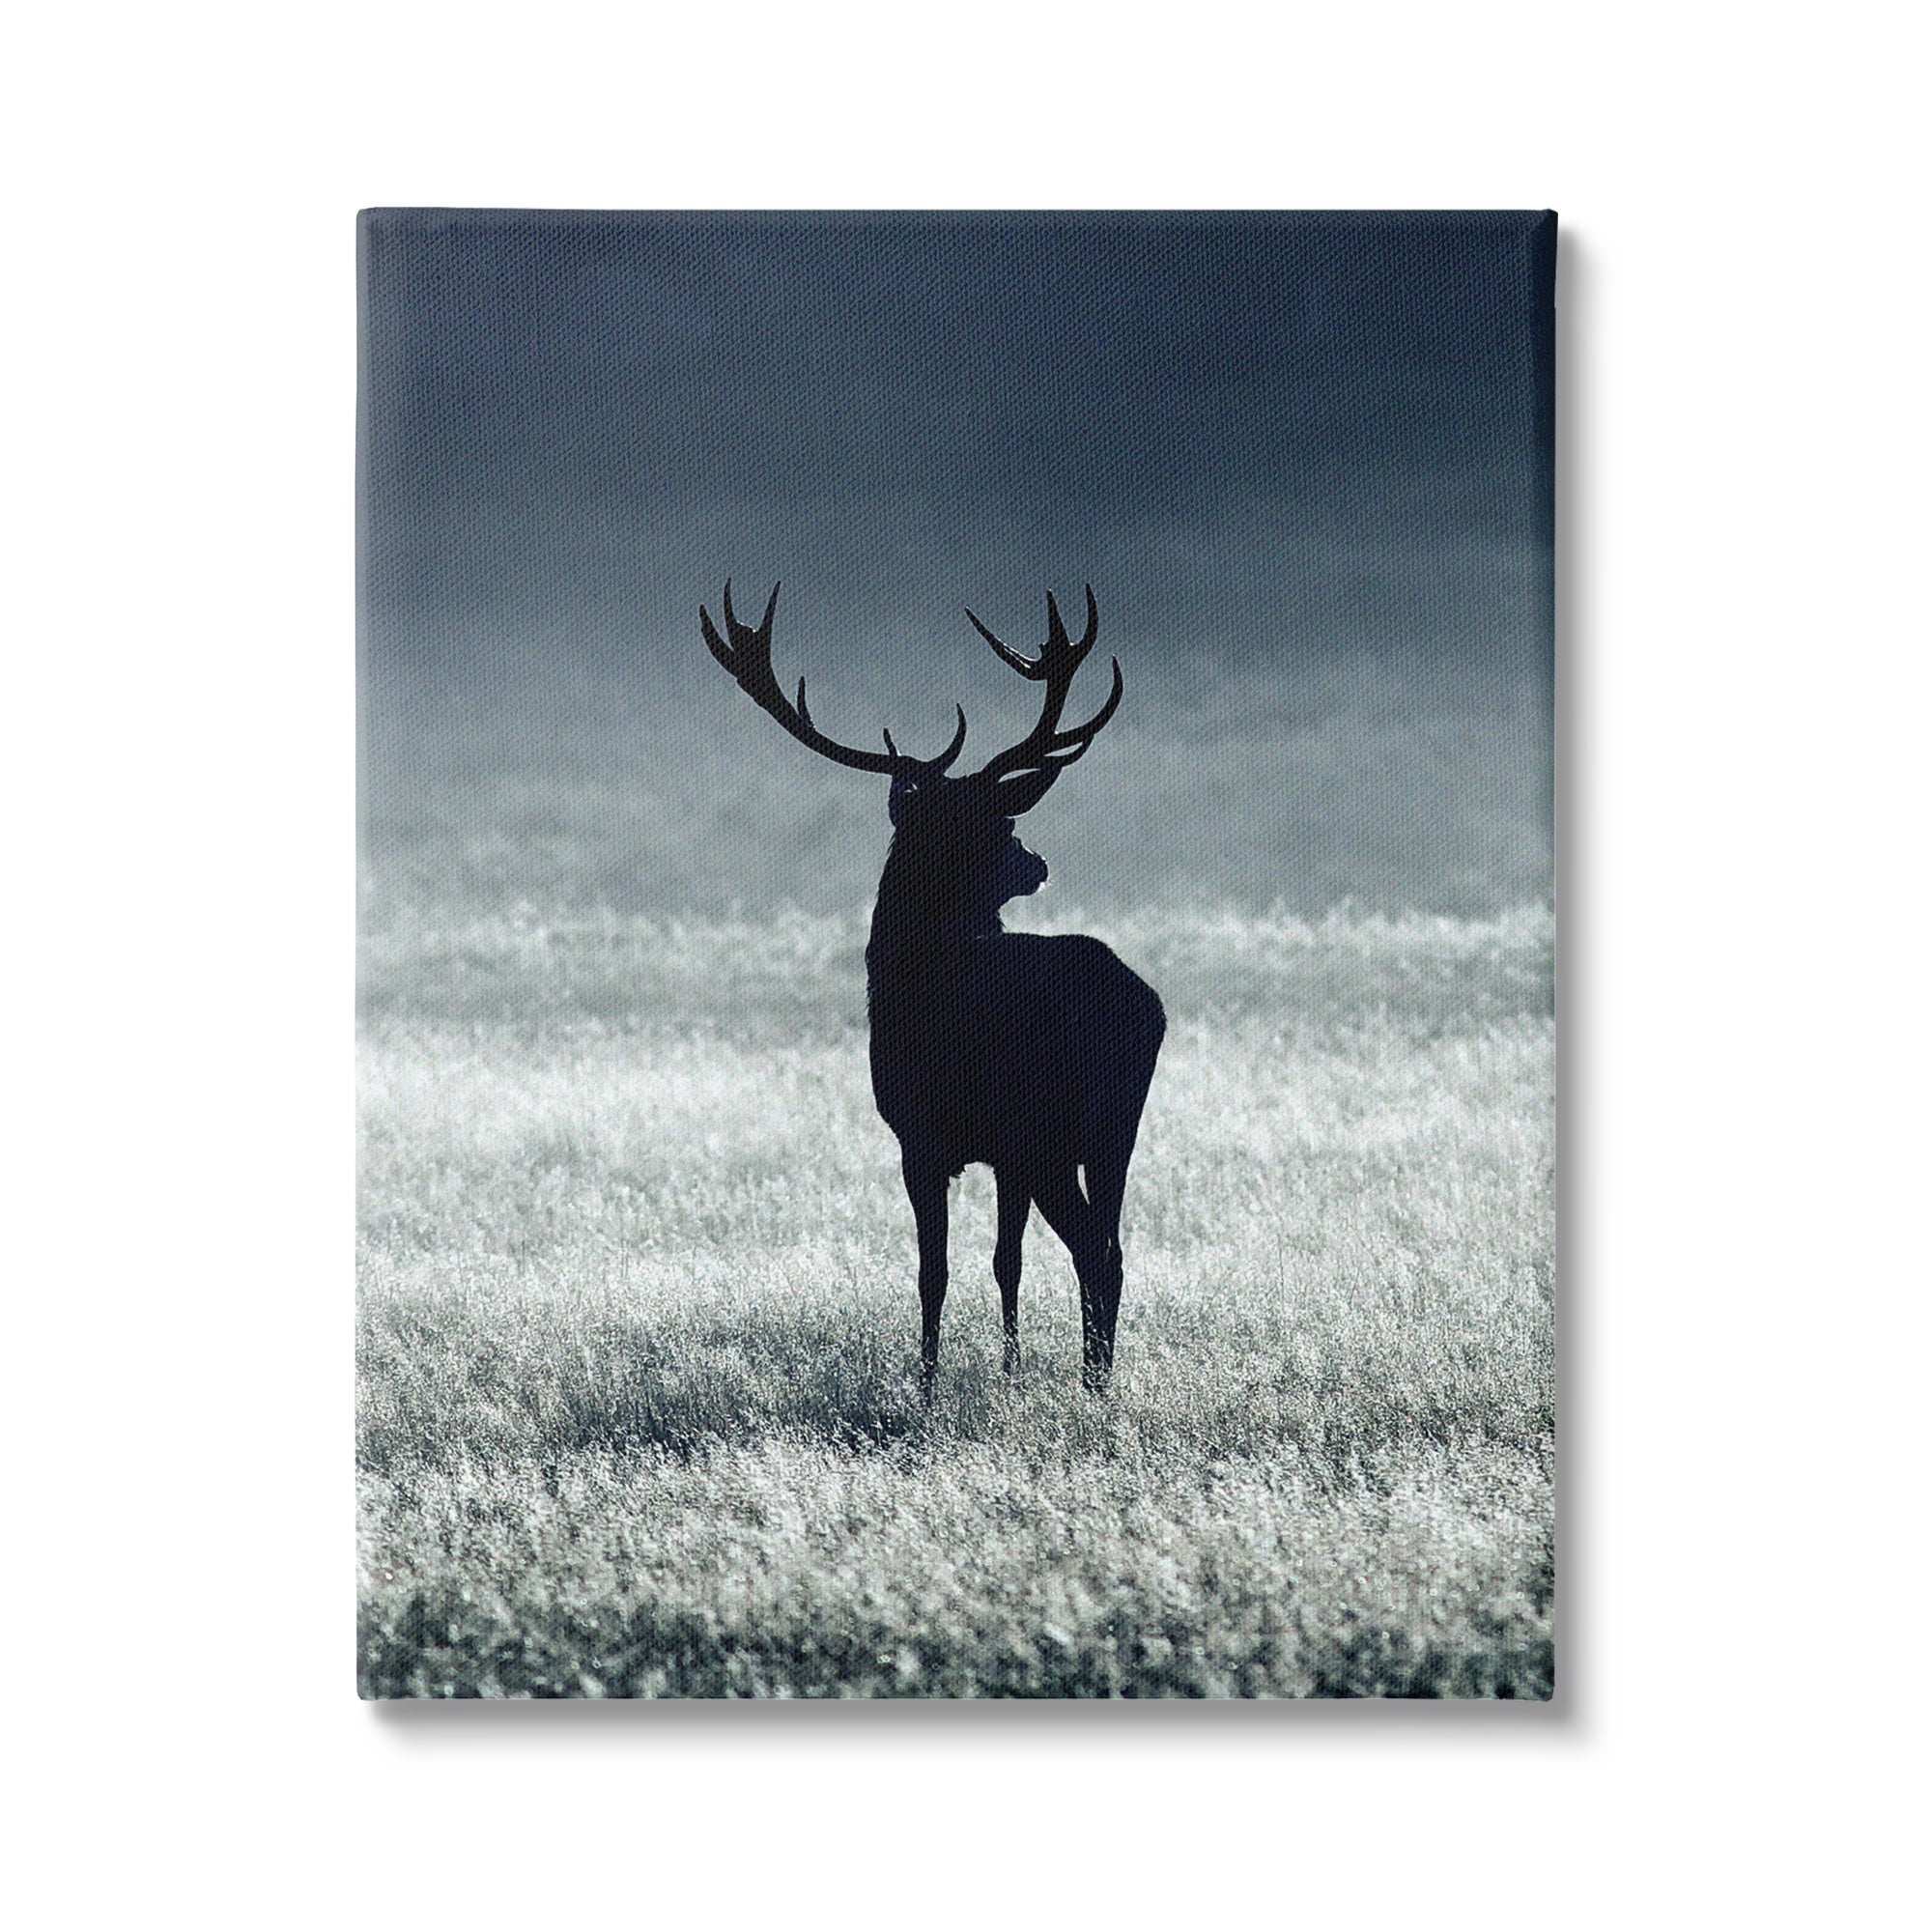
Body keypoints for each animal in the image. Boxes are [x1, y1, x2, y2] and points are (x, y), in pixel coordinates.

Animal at [701, 581, 1165, 1395]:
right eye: (1003, 825)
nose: (1037, 862)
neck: (906, 967)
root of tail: (1140, 1006)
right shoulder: (1002, 1156)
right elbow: (1005, 1262)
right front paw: (1007, 1368)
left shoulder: (919, 1135)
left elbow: (933, 1271)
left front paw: (924, 1385)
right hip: (1116, 1128)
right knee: (1112, 1246)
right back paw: (1100, 1380)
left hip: (1047, 1125)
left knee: (1093, 1249)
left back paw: (1093, 1386)